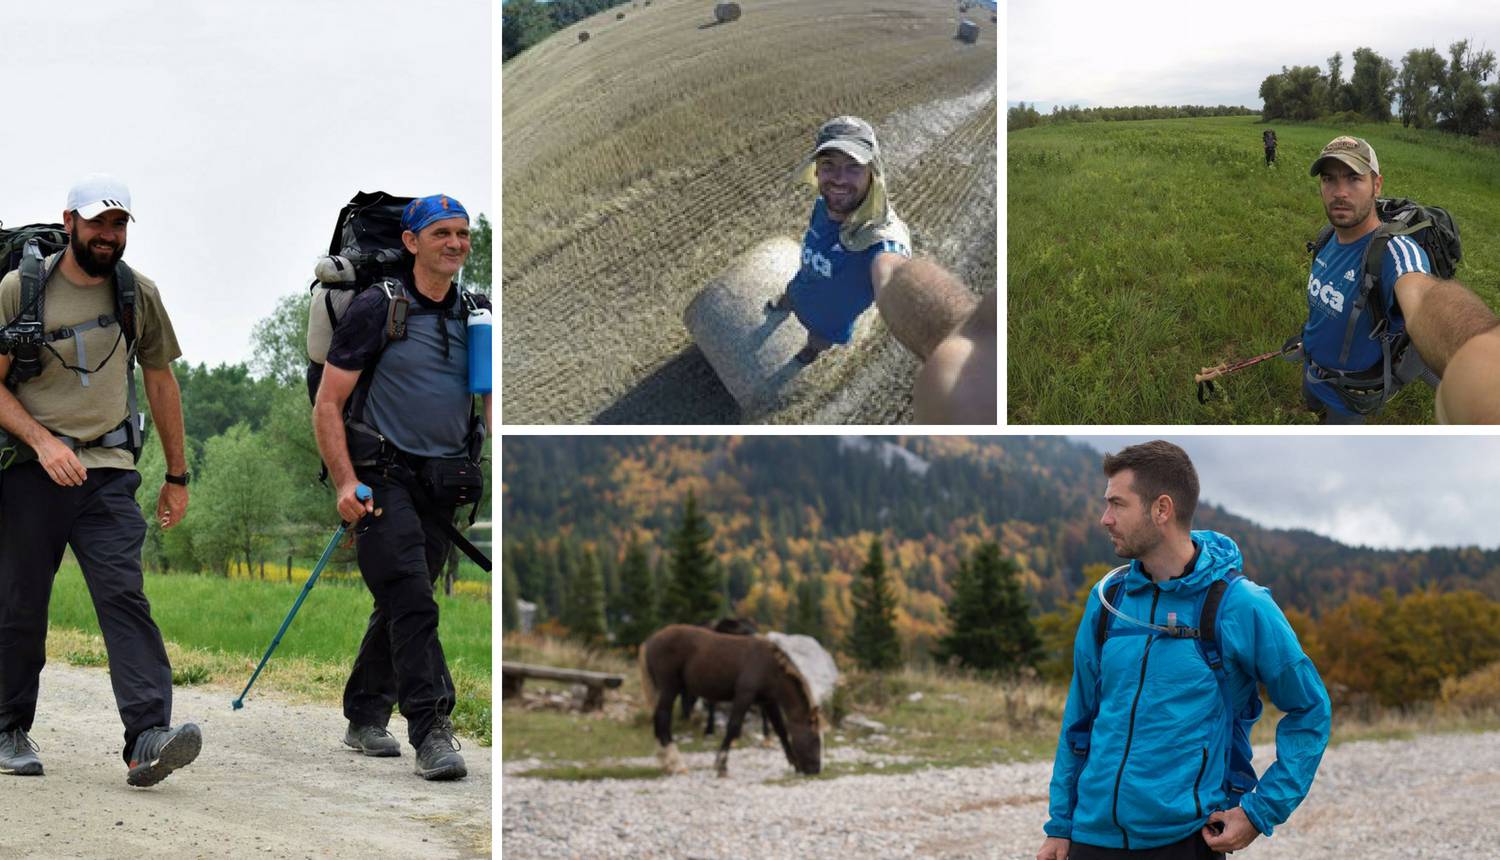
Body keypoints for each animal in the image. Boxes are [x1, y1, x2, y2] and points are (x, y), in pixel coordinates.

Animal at [633, 621, 822, 774]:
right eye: (815, 740)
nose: (815, 769)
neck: (769, 666)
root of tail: (650, 641)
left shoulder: (768, 702)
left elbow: (781, 730)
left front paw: (795, 763)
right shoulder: (744, 696)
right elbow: (733, 727)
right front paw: (721, 765)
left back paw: (667, 763)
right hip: (669, 689)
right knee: (663, 719)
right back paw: (676, 764)